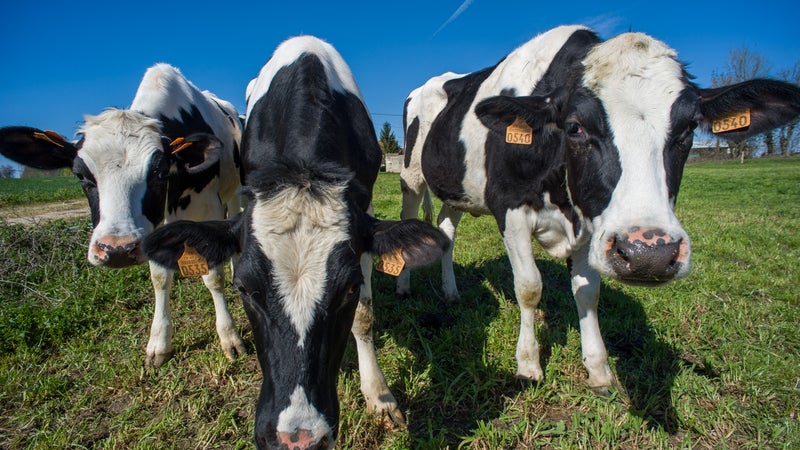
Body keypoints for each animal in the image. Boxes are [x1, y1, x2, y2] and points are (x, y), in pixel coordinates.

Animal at [0, 63, 247, 368]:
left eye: (158, 171)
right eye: (81, 175)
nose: (115, 250)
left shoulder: (208, 206)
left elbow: (213, 276)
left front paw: (229, 337)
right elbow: (159, 278)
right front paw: (159, 343)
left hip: (232, 191)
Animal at [397, 25, 800, 393]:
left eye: (688, 129)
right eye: (575, 127)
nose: (650, 254)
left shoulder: (594, 225)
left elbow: (587, 292)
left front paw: (598, 369)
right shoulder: (509, 208)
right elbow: (529, 286)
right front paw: (528, 364)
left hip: (456, 190)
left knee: (446, 231)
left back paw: (450, 292)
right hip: (412, 176)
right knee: (408, 219)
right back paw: (403, 288)